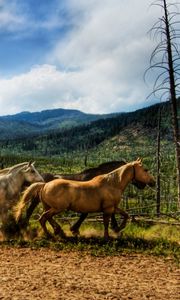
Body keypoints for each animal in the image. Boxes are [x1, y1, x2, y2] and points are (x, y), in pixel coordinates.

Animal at [16, 159, 155, 239]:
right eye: (145, 169)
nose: (153, 182)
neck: (111, 183)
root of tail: (44, 184)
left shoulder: (112, 207)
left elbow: (125, 215)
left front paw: (117, 229)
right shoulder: (107, 208)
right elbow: (104, 220)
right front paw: (109, 234)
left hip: (49, 206)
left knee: (45, 217)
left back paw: (56, 232)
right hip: (56, 207)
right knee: (40, 217)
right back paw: (48, 233)